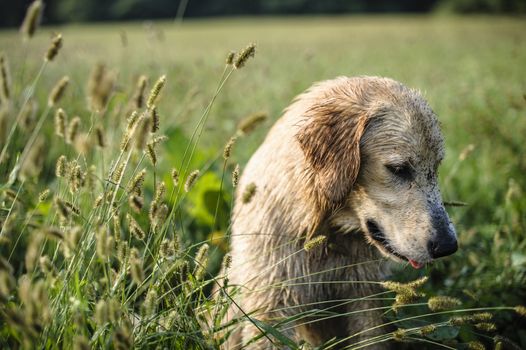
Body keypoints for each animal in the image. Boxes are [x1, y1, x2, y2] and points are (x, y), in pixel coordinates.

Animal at [225, 76, 460, 348]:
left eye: (436, 167)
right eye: (399, 169)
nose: (448, 246)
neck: (323, 232)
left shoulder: (364, 299)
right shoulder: (272, 309)